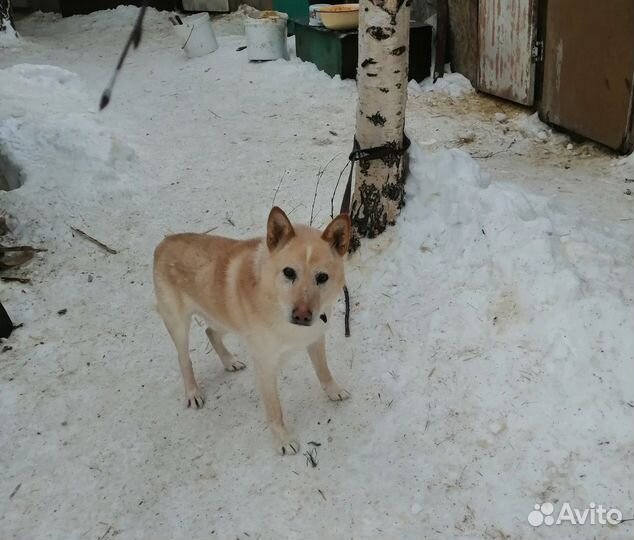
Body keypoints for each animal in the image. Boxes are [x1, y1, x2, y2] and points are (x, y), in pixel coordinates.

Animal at [153, 209, 350, 454]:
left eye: (322, 277)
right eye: (289, 272)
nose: (302, 316)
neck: (276, 303)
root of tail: (165, 241)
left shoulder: (315, 339)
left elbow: (324, 371)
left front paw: (334, 391)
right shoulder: (265, 365)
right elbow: (274, 409)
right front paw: (283, 440)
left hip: (223, 317)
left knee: (210, 332)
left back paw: (229, 361)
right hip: (179, 324)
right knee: (183, 358)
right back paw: (193, 392)